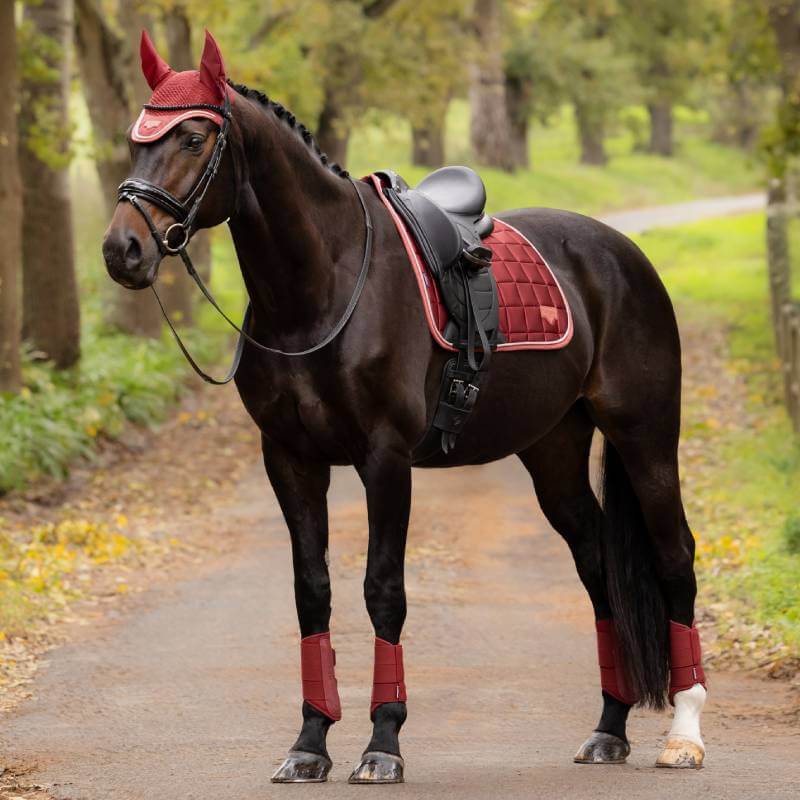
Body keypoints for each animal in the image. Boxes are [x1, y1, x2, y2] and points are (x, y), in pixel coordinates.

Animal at [102, 31, 708, 784]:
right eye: (135, 140)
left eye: (191, 137)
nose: (122, 249)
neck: (324, 287)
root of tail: (622, 254)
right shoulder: (290, 460)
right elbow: (313, 592)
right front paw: (310, 742)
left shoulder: (385, 459)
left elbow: (382, 590)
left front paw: (382, 742)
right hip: (554, 451)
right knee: (598, 564)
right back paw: (609, 727)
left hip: (645, 436)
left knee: (674, 555)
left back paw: (683, 734)